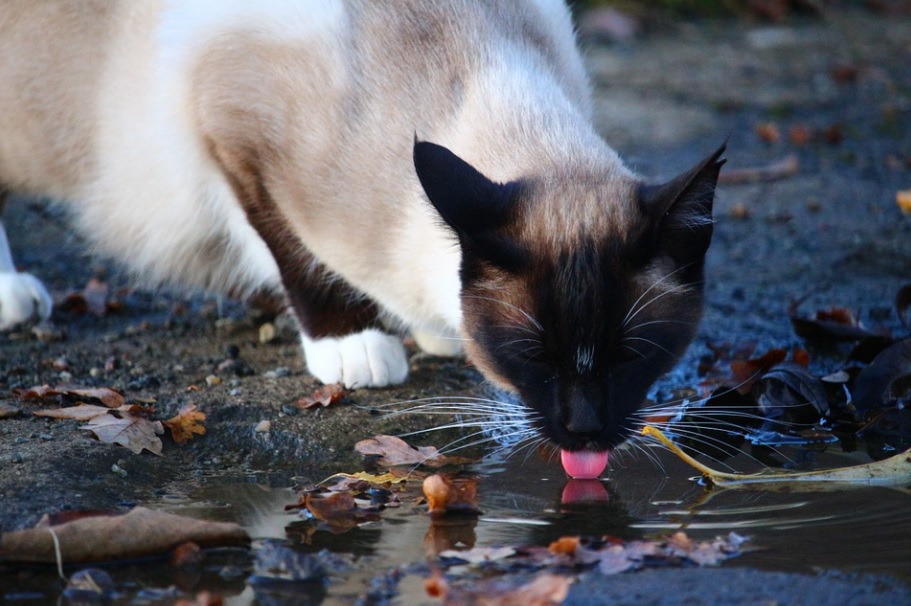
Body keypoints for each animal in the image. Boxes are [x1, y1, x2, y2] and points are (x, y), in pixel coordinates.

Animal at [1, 0, 728, 468]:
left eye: (632, 356)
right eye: (535, 358)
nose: (585, 436)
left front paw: (434, 331)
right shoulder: (234, 135)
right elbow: (291, 247)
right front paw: (355, 345)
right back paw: (12, 295)